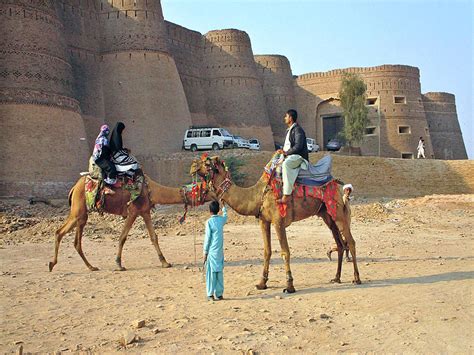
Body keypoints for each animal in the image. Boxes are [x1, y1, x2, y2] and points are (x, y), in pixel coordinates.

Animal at [48, 175, 215, 272]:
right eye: (207, 190)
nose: (217, 194)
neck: (151, 189)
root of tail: (74, 188)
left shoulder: (145, 211)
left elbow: (154, 237)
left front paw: (165, 262)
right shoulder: (133, 211)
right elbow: (123, 237)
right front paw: (119, 264)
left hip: (81, 214)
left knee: (74, 240)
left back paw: (90, 267)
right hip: (79, 209)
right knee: (60, 232)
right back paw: (52, 264)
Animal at [191, 154, 362, 294]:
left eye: (207, 162)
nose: (192, 165)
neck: (257, 195)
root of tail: (339, 186)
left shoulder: (278, 221)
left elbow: (285, 252)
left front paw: (289, 285)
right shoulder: (264, 221)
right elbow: (267, 251)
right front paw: (261, 283)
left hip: (339, 213)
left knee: (351, 242)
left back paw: (356, 278)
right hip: (327, 215)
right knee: (340, 244)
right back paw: (337, 278)